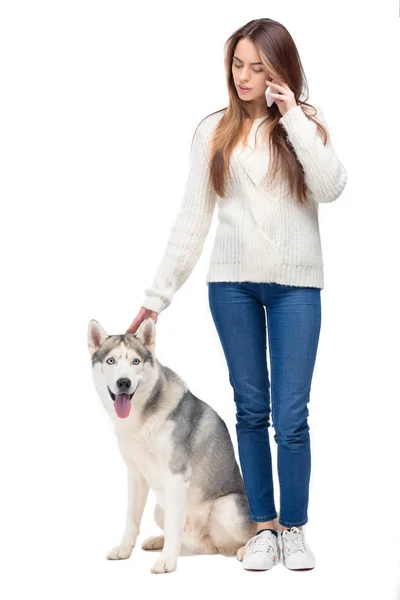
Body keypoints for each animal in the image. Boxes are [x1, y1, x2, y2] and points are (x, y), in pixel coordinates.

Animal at [86, 316, 258, 576]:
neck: (142, 418)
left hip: (227, 507)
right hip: (160, 508)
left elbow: (173, 526)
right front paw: (124, 550)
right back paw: (159, 541)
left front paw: (167, 561)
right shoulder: (136, 476)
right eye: (111, 361)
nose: (123, 382)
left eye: (136, 361)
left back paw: (246, 550)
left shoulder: (176, 477)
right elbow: (132, 519)